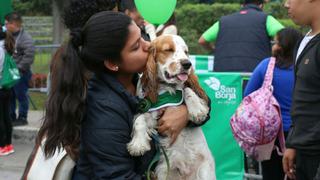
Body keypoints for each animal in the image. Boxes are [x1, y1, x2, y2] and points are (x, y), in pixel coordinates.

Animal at [127, 34, 215, 179]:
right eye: (168, 50)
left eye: (186, 52)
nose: (187, 64)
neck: (167, 88)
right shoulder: (155, 117)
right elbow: (140, 119)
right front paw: (138, 144)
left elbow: (187, 89)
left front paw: (197, 110)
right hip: (163, 172)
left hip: (204, 172)